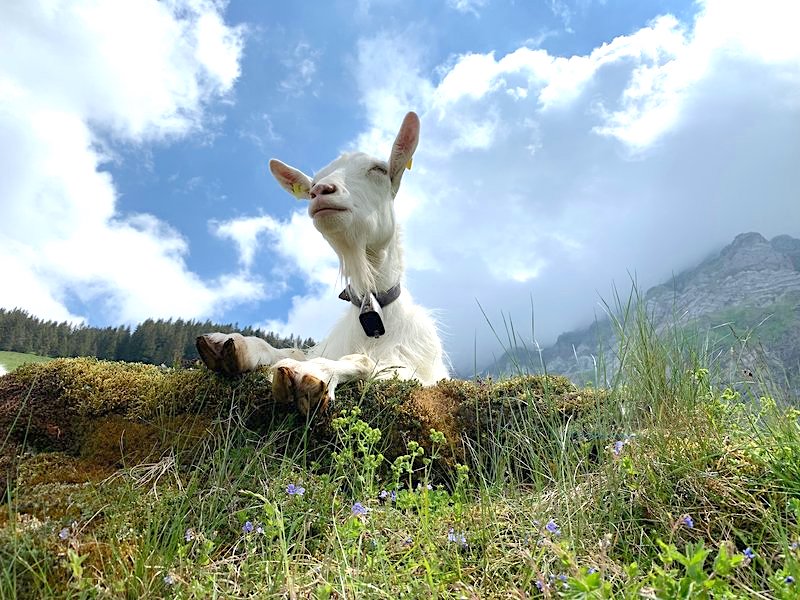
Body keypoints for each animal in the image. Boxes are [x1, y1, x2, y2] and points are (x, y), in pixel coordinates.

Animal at [196, 112, 449, 416]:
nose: (321, 190)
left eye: (378, 169)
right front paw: (233, 343)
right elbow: (291, 350)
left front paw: (312, 372)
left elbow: (363, 361)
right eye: (313, 182)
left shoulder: (418, 373)